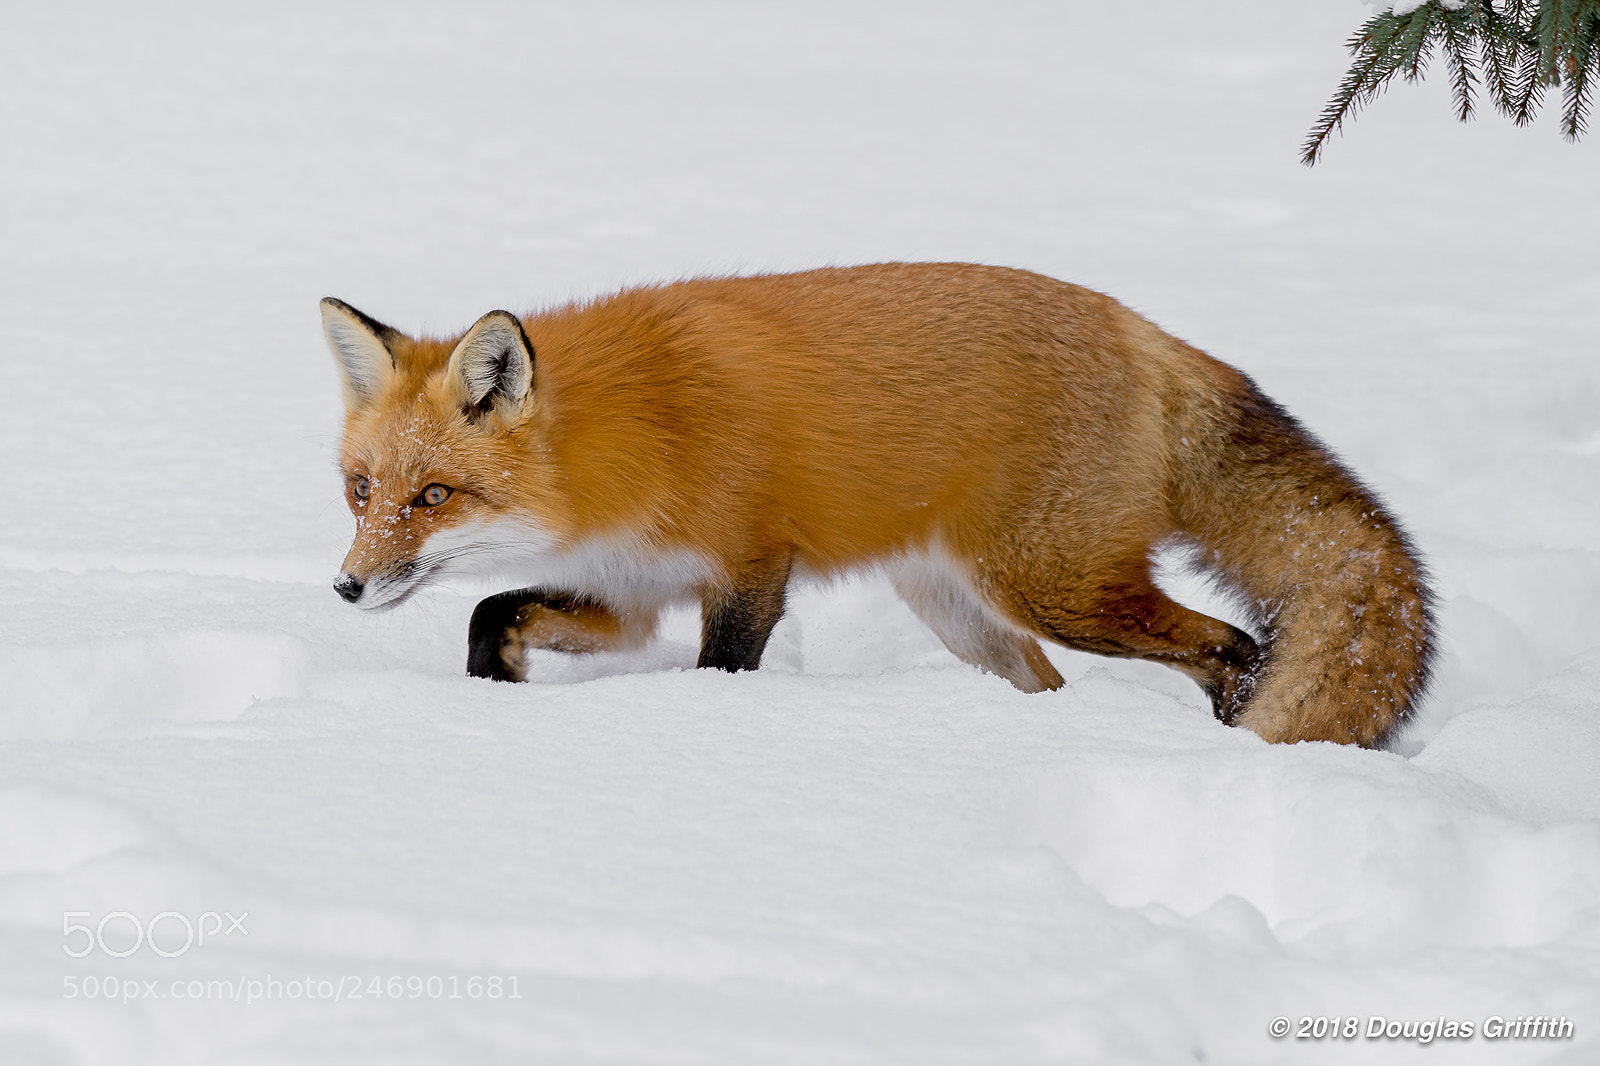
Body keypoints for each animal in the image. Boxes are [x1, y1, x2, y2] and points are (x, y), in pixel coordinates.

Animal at [323, 262, 1434, 747]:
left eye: (435, 495)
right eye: (362, 491)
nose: (345, 587)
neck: (633, 439)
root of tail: (1141, 327)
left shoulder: (749, 568)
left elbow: (721, 670)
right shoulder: (628, 592)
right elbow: (488, 612)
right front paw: (494, 693)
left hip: (1056, 590)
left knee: (1233, 650)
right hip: (963, 614)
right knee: (1055, 685)